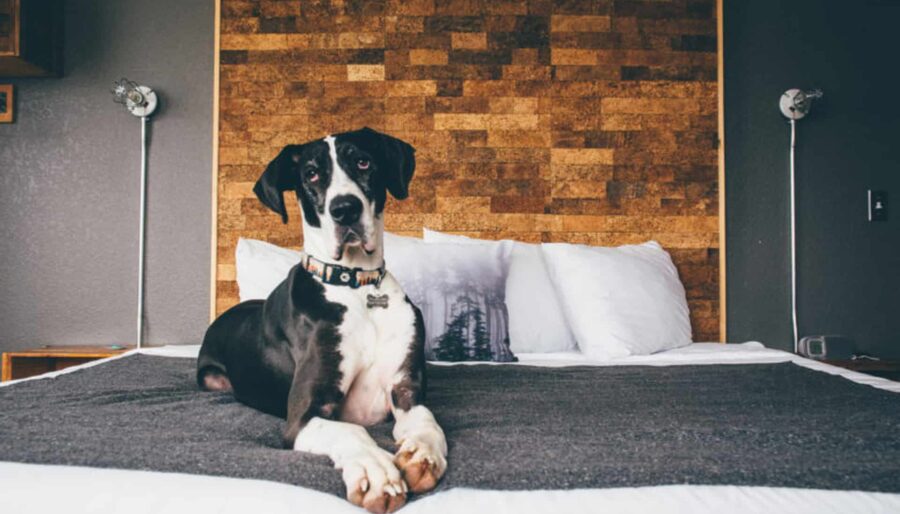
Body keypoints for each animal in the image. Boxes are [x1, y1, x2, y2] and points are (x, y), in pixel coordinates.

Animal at [200, 126, 446, 510]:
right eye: (312, 174)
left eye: (363, 162)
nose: (345, 209)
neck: (357, 287)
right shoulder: (303, 415)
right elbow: (351, 430)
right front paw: (377, 471)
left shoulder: (405, 388)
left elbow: (427, 419)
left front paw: (422, 453)